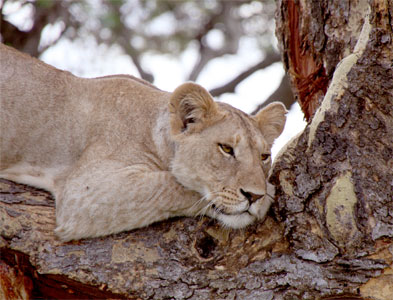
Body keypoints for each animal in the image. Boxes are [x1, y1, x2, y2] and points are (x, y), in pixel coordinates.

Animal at [0, 43, 284, 241]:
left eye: (264, 156)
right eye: (226, 149)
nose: (254, 196)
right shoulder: (83, 193)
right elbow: (171, 184)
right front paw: (268, 196)